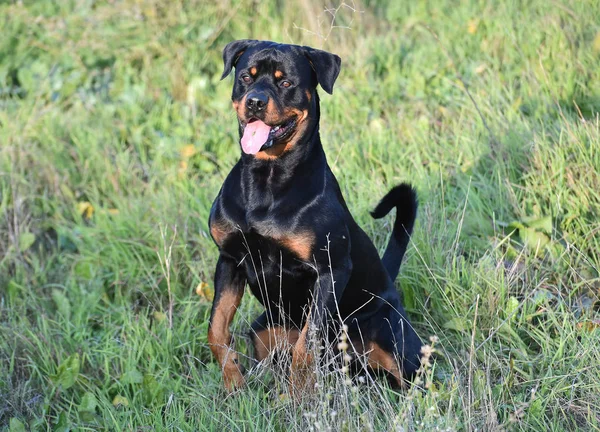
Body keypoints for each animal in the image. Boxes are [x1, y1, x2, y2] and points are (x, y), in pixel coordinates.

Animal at [209, 39, 424, 392]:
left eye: (285, 83)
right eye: (245, 77)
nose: (254, 102)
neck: (267, 178)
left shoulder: (329, 270)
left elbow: (306, 347)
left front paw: (295, 401)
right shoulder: (229, 259)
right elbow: (215, 329)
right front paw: (233, 385)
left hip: (394, 341)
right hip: (265, 329)